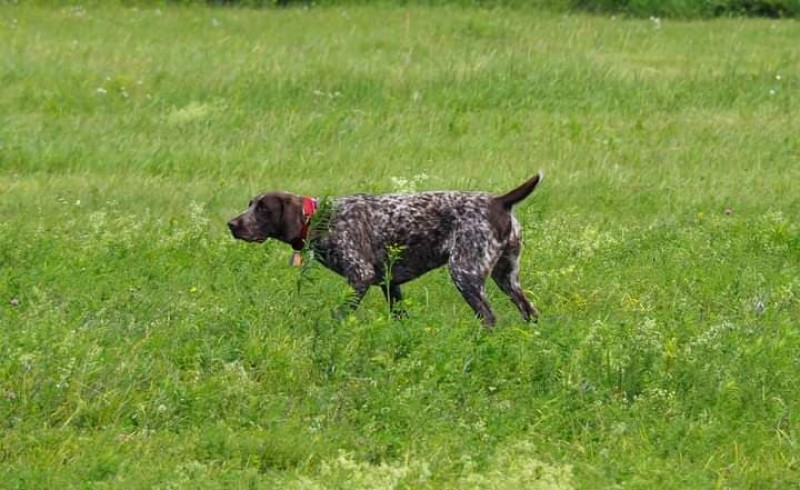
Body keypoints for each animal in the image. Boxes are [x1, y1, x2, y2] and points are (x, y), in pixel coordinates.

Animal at [230, 172, 544, 326]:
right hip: (507, 278)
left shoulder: (360, 275)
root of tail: (500, 201)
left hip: (464, 273)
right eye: (250, 204)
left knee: (489, 317)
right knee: (530, 312)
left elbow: (340, 315)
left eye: (263, 208)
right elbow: (399, 317)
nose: (231, 224)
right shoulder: (390, 283)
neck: (323, 219)